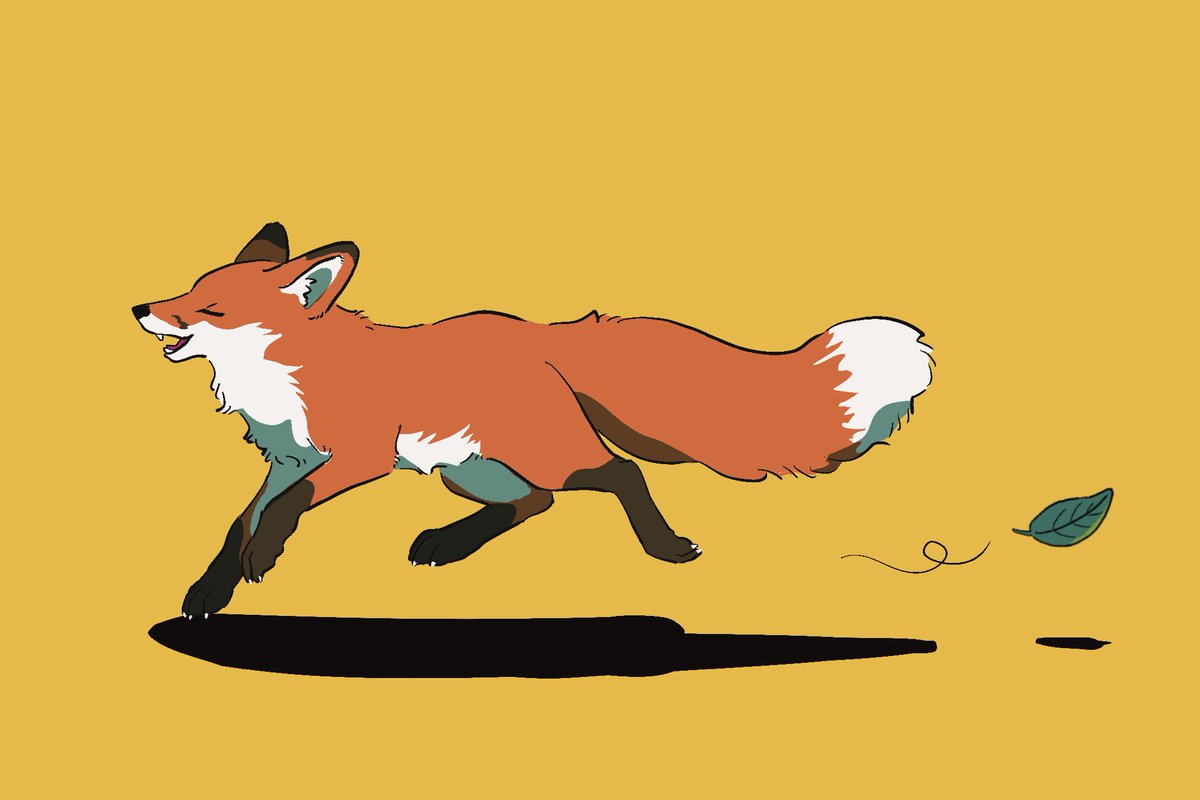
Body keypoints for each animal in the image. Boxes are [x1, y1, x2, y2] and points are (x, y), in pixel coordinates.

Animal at [134, 223, 933, 619]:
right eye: (187, 290)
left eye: (211, 308)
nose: (141, 307)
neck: (290, 375)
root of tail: (542, 333)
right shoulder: (288, 460)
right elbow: (239, 521)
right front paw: (212, 589)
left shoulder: (355, 456)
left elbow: (282, 513)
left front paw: (260, 562)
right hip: (466, 471)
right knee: (534, 504)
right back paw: (448, 544)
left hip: (542, 453)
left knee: (618, 472)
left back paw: (665, 548)